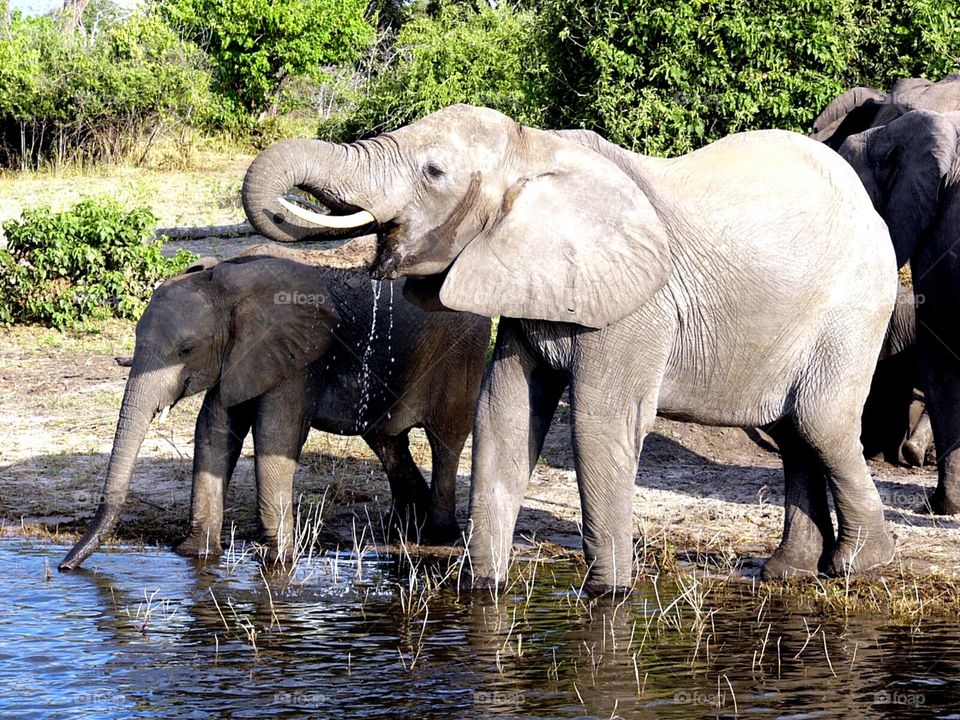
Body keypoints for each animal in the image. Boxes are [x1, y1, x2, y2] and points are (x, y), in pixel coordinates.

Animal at [240, 105, 900, 592]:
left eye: (433, 172)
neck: (535, 148)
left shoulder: (635, 305)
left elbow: (598, 424)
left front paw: (608, 598)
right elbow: (503, 416)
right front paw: (484, 591)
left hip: (855, 310)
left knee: (820, 424)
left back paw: (859, 567)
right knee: (792, 433)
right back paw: (787, 573)